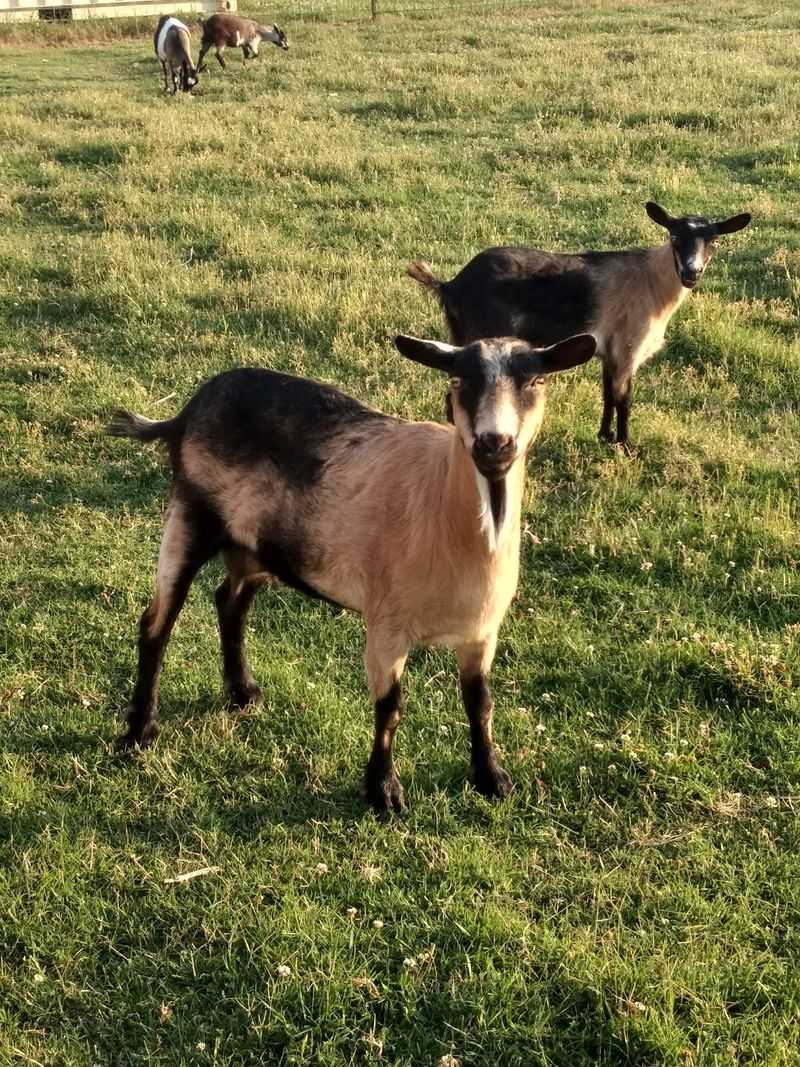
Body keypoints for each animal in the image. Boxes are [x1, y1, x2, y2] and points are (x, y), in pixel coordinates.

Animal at [107, 333, 595, 811]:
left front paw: (492, 779)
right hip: (189, 517)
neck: (444, 506)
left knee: (230, 601)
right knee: (156, 624)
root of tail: (186, 412)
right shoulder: (386, 625)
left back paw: (243, 693)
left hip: (255, 547)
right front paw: (383, 792)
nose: (495, 444)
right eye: (458, 381)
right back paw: (139, 733)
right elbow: (390, 708)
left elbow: (480, 704)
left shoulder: (482, 632)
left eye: (536, 381)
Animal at [409, 202, 751, 452]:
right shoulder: (628, 346)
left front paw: (604, 436)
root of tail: (450, 285)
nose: (691, 273)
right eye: (674, 237)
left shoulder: (609, 350)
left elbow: (608, 394)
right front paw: (626, 446)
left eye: (714, 241)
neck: (651, 283)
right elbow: (624, 398)